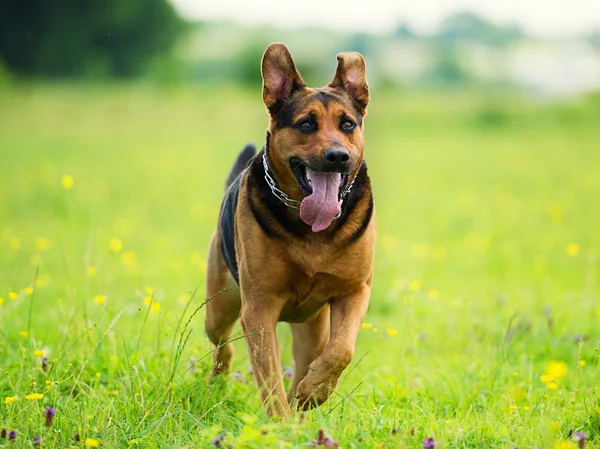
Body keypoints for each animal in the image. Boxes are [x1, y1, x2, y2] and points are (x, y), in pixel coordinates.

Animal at [206, 43, 376, 416]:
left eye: (347, 124)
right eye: (306, 124)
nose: (338, 156)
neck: (310, 229)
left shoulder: (354, 290)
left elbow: (342, 349)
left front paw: (314, 391)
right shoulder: (258, 308)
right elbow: (269, 376)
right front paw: (279, 422)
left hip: (312, 327)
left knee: (307, 357)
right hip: (220, 303)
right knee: (222, 343)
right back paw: (216, 382)